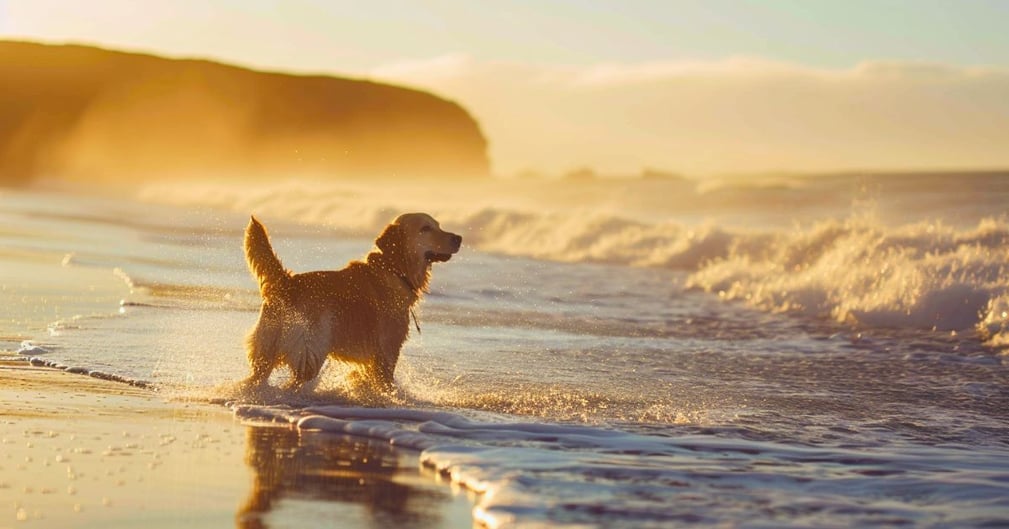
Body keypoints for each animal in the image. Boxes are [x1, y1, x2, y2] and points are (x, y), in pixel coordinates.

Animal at [242, 213, 462, 389]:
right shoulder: (387, 351)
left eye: (439, 225)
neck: (393, 269)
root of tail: (287, 281)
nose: (459, 238)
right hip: (309, 353)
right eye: (425, 228)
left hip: (267, 350)